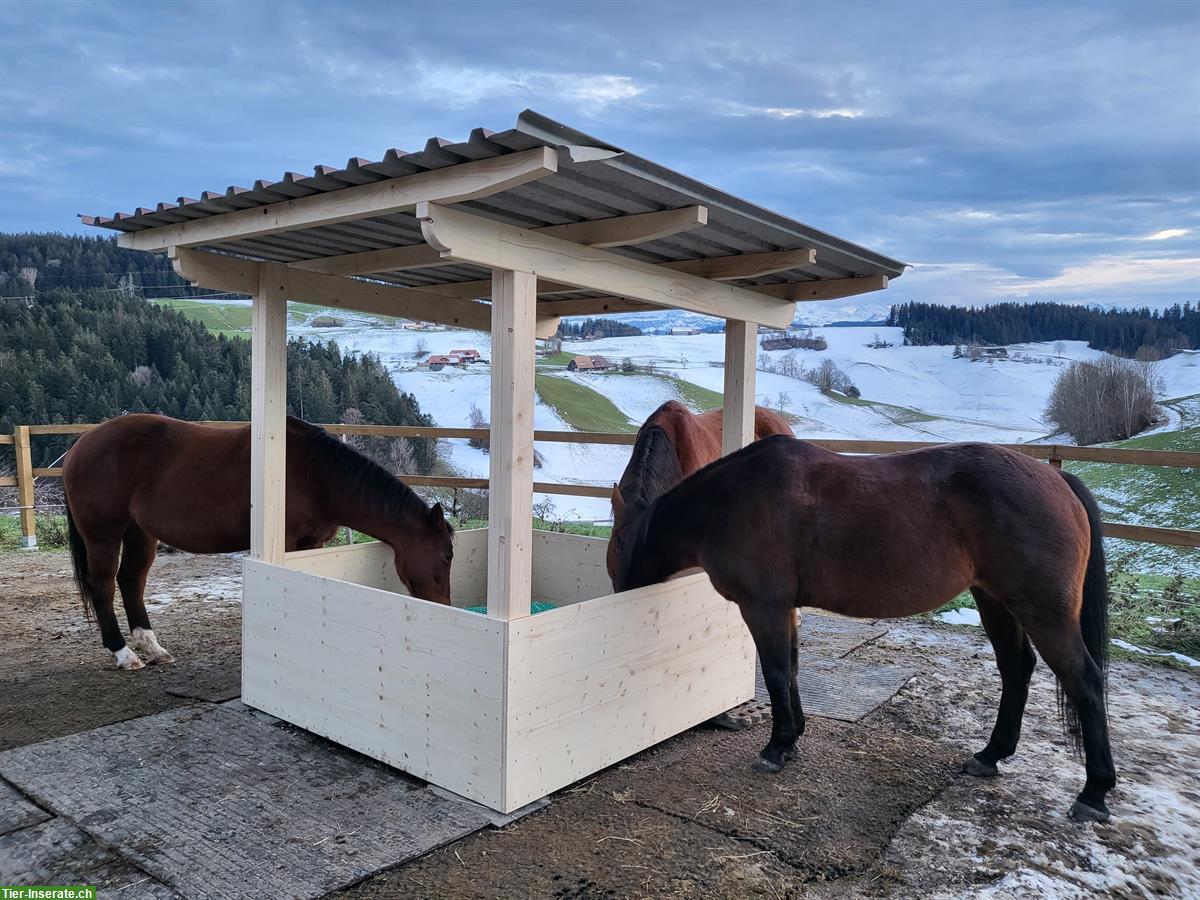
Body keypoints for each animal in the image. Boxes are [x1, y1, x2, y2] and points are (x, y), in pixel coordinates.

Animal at [63, 415, 453, 672]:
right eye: (446, 556)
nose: (445, 608)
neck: (318, 475)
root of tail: (81, 444)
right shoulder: (290, 543)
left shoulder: (312, 544)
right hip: (103, 535)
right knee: (103, 587)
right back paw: (123, 654)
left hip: (140, 533)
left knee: (131, 581)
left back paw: (153, 647)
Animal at [619, 436, 1113, 825]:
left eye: (620, 550)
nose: (618, 593)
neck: (728, 502)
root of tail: (1057, 481)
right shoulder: (785, 609)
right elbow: (791, 669)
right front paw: (793, 737)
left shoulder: (763, 607)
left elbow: (776, 673)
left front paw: (776, 747)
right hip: (994, 601)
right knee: (1016, 668)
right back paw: (991, 755)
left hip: (1043, 613)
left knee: (1085, 681)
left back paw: (1094, 793)